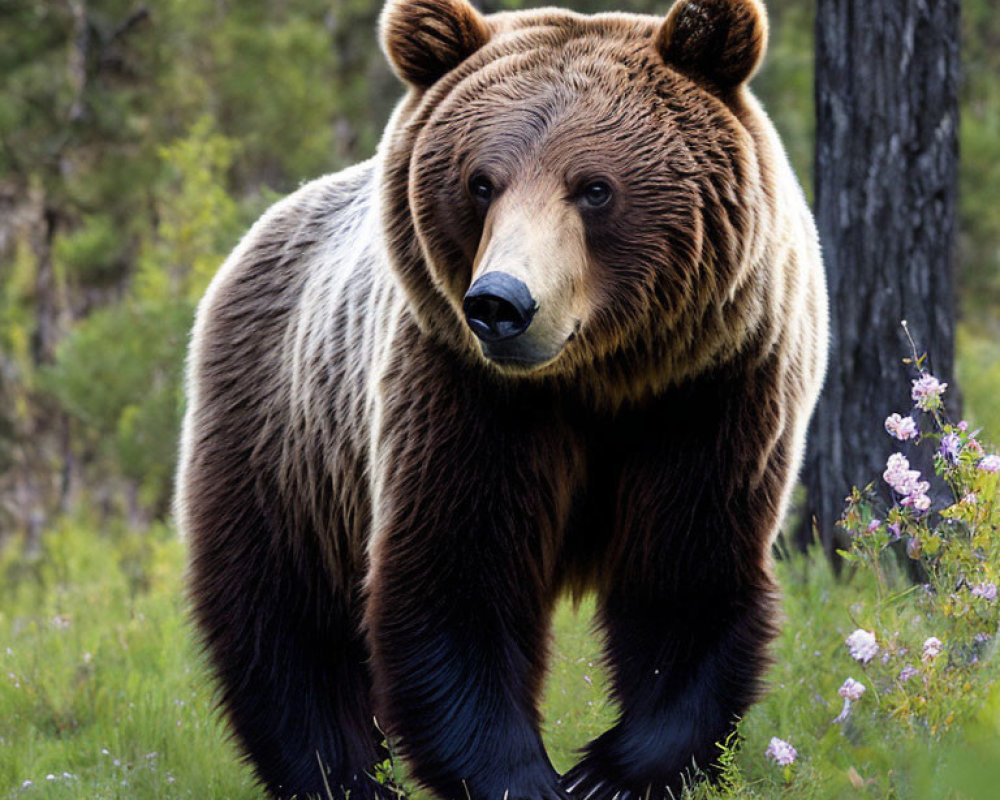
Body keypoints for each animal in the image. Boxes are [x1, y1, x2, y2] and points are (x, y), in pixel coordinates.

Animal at [178, 0, 828, 796]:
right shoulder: (464, 391)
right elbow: (457, 580)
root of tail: (261, 230)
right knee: (283, 618)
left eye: (595, 187)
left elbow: (686, 571)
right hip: (286, 433)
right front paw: (525, 775)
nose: (500, 304)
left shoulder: (714, 387)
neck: (602, 375)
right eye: (481, 182)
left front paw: (614, 772)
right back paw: (340, 775)